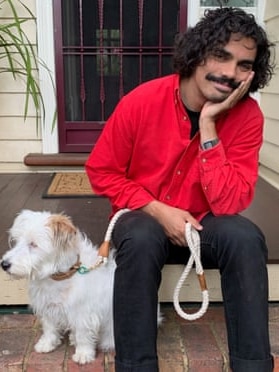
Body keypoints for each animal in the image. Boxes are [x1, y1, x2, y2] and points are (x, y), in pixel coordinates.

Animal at [0, 209, 116, 364]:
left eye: (33, 244)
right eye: (17, 241)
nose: (4, 264)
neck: (59, 277)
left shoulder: (83, 312)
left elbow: (83, 334)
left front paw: (83, 353)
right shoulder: (47, 306)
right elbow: (49, 327)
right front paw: (47, 343)